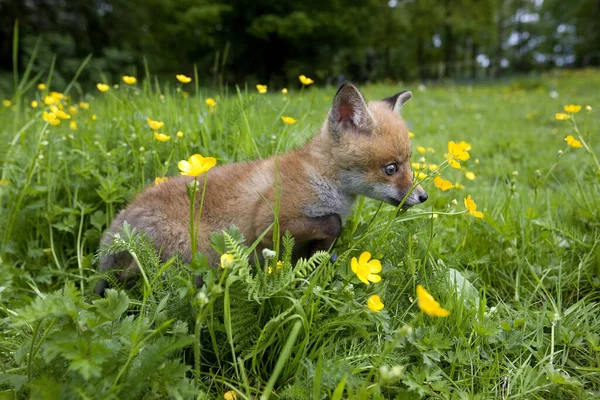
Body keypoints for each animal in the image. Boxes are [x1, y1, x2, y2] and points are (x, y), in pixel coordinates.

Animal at [97, 83, 426, 292]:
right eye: (391, 169)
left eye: (409, 163)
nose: (423, 196)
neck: (321, 178)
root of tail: (114, 228)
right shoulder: (269, 223)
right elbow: (333, 223)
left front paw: (314, 261)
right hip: (190, 253)